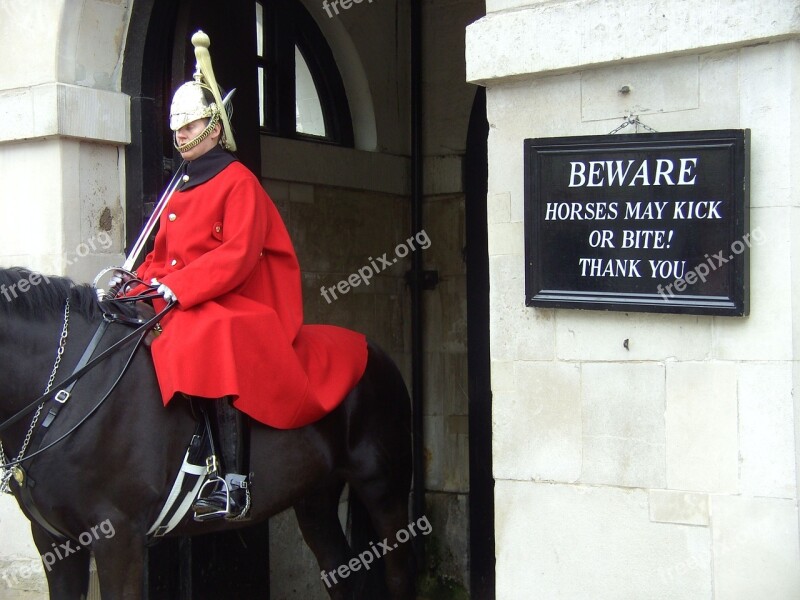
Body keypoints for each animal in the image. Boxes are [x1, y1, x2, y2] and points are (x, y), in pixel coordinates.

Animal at [0, 268, 412, 600]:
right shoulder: (55, 542)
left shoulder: (117, 537)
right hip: (315, 499)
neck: (71, 388)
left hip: (383, 490)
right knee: (341, 575)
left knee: (398, 578)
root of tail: (371, 348)